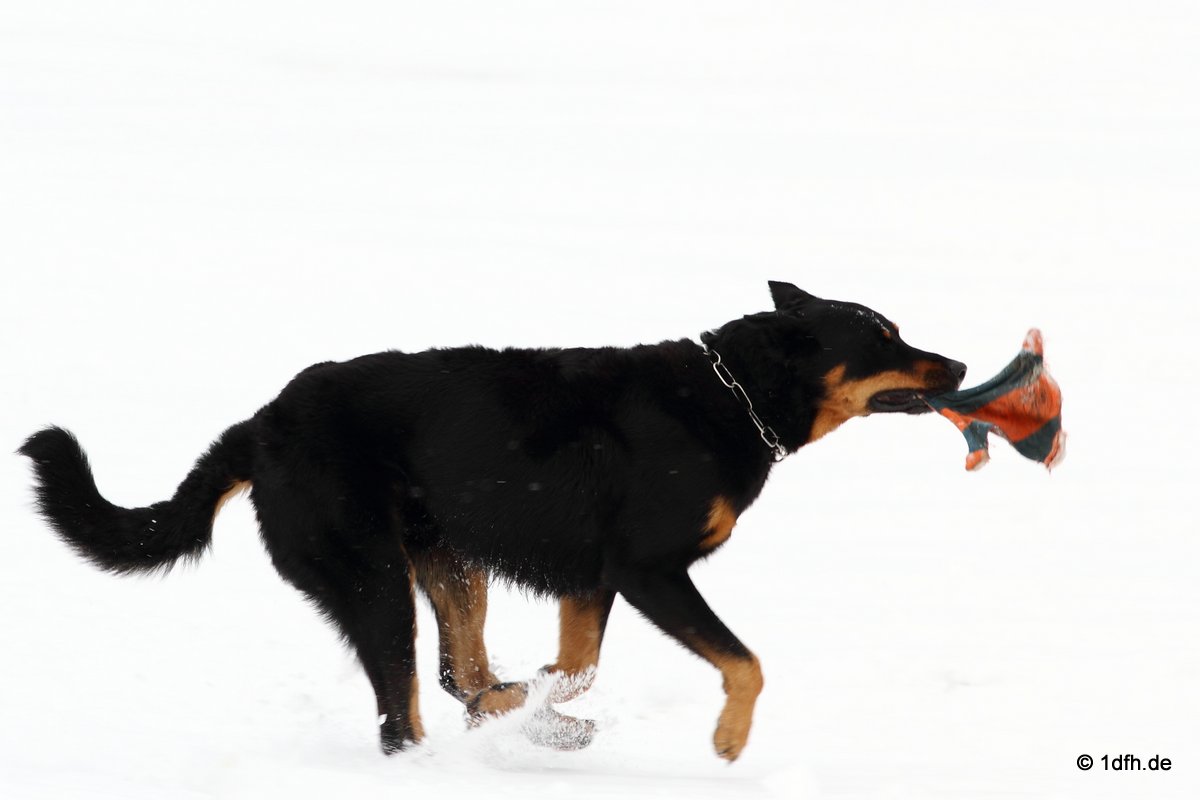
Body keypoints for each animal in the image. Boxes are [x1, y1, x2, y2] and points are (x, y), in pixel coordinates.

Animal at [20, 281, 965, 761]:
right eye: (882, 338)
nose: (957, 367)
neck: (731, 398)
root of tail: (259, 424)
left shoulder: (591, 579)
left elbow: (575, 670)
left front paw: (542, 709)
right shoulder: (648, 570)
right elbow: (747, 664)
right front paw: (728, 743)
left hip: (450, 559)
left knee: (456, 674)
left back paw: (507, 705)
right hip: (373, 577)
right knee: (400, 717)